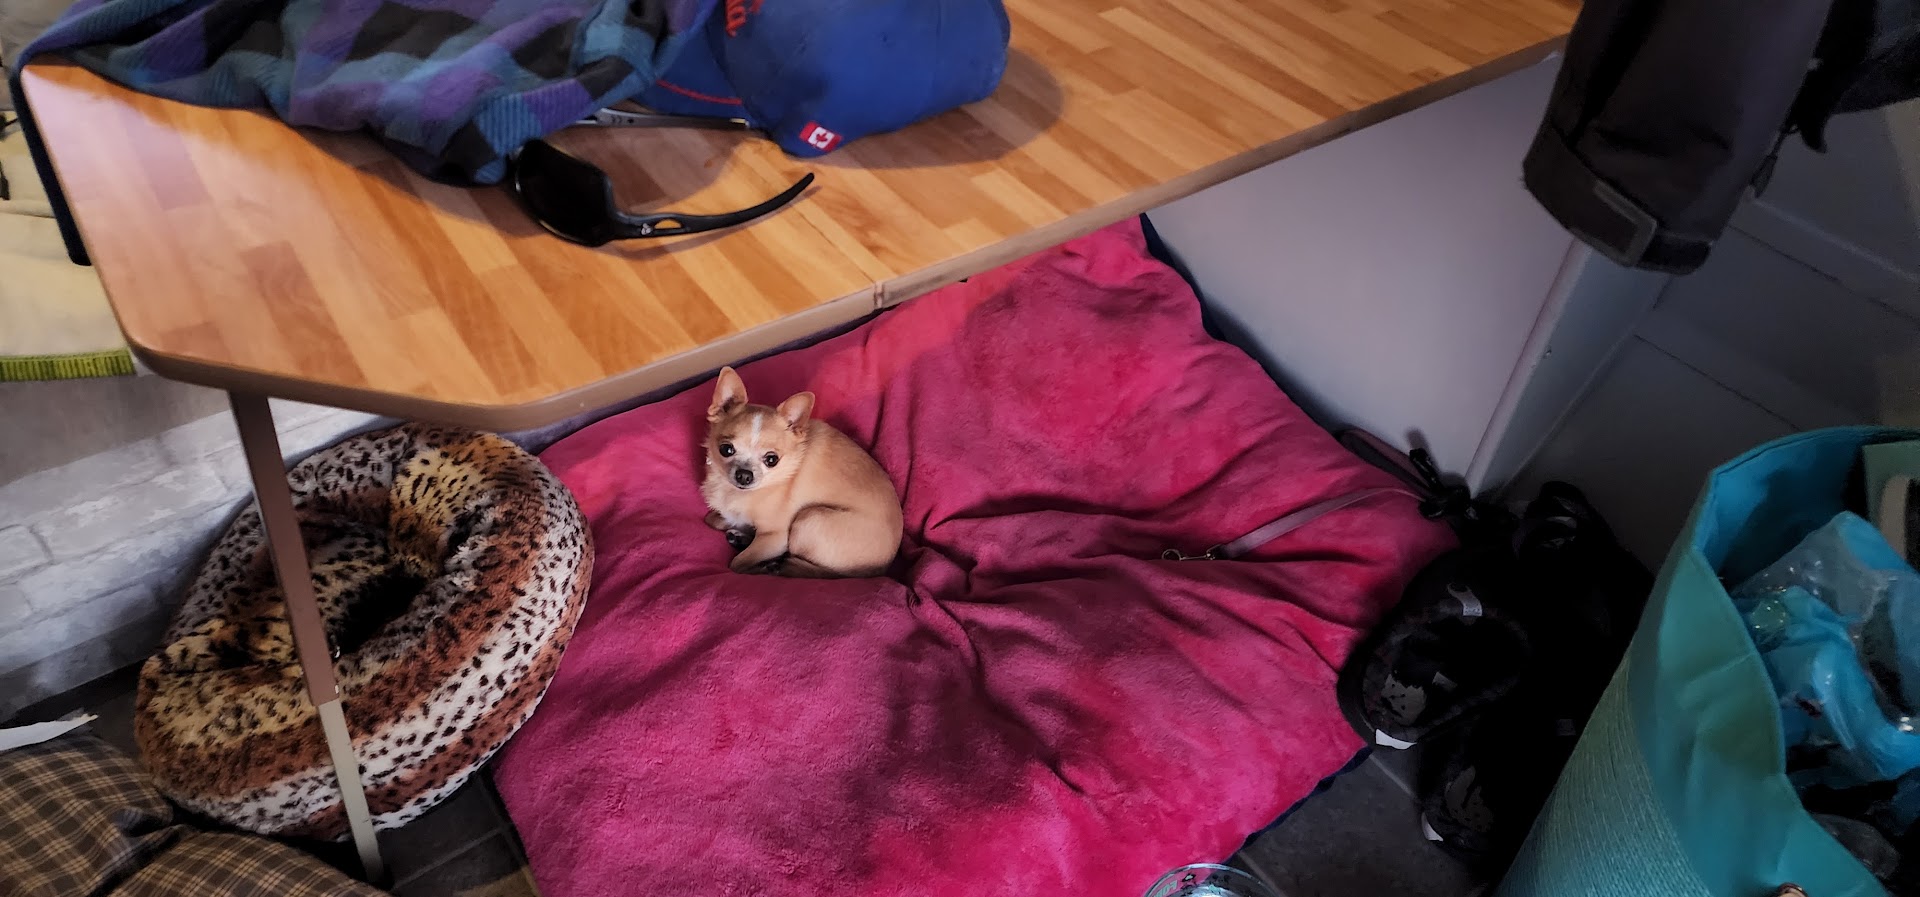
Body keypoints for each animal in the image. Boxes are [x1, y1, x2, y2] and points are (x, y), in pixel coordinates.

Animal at [701, 366, 902, 577]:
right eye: (726, 449)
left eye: (771, 460)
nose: (744, 475)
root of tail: (873, 572)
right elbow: (714, 519)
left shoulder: (776, 538)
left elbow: (737, 564)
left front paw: (758, 563)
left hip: (808, 520)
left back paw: (772, 564)